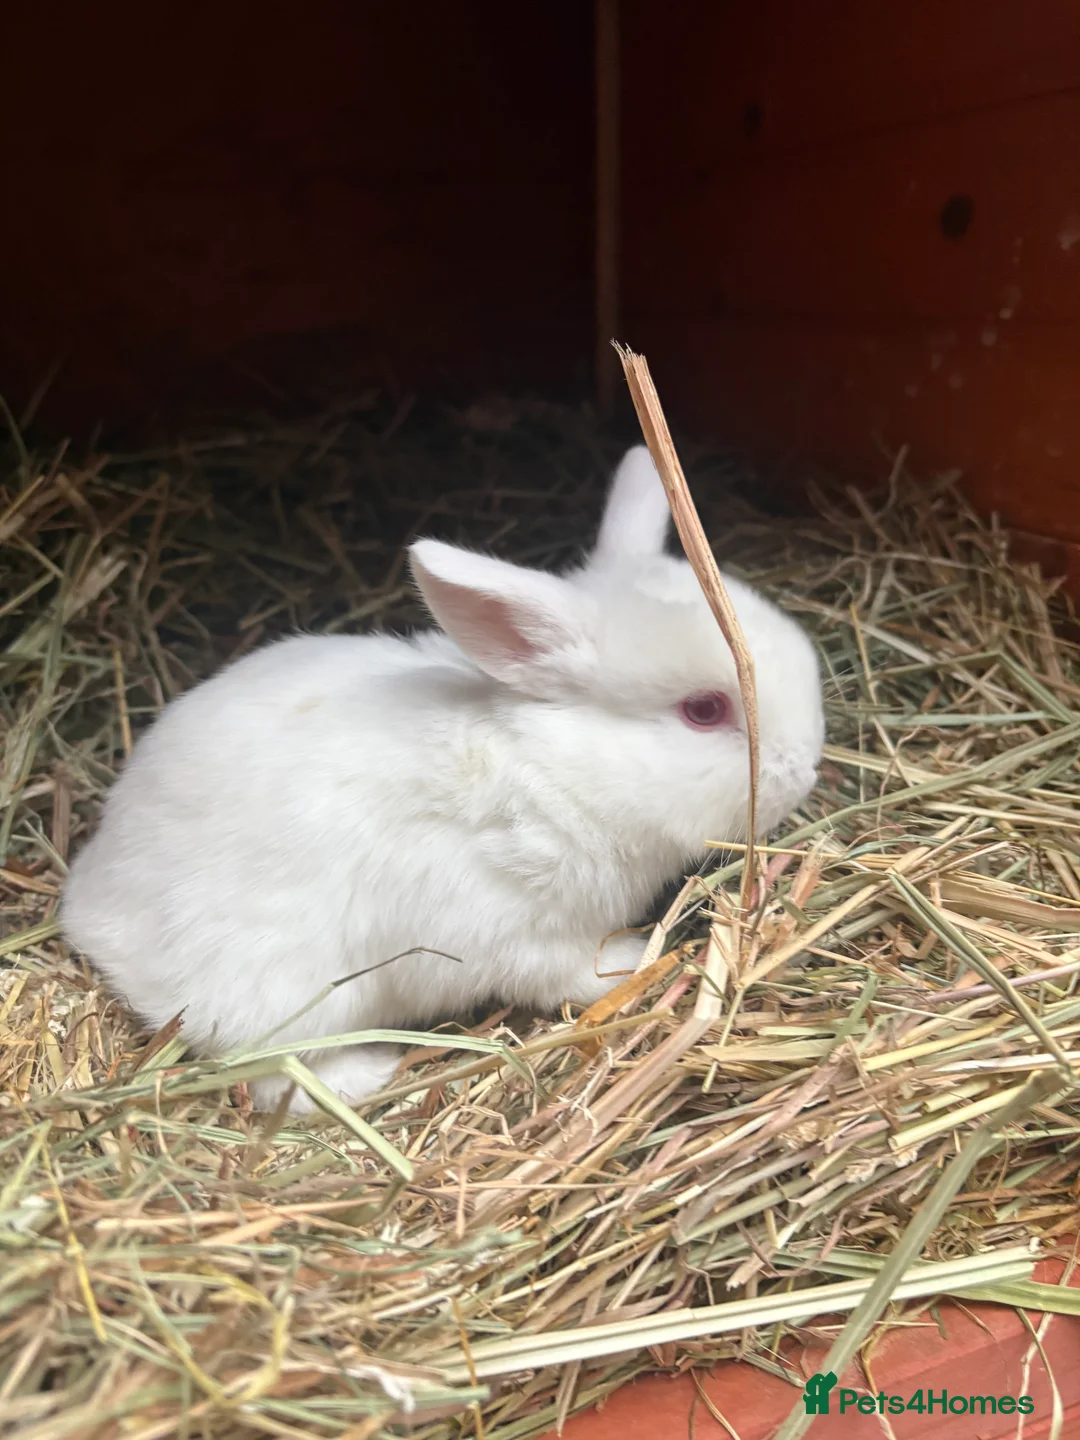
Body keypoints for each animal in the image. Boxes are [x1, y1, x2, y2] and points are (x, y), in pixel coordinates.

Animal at [62, 446, 825, 1112]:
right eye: (704, 710)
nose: (804, 770)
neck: (556, 770)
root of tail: (90, 912)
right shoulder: (511, 932)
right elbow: (574, 971)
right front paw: (644, 957)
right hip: (285, 992)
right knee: (272, 1071)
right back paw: (367, 1075)